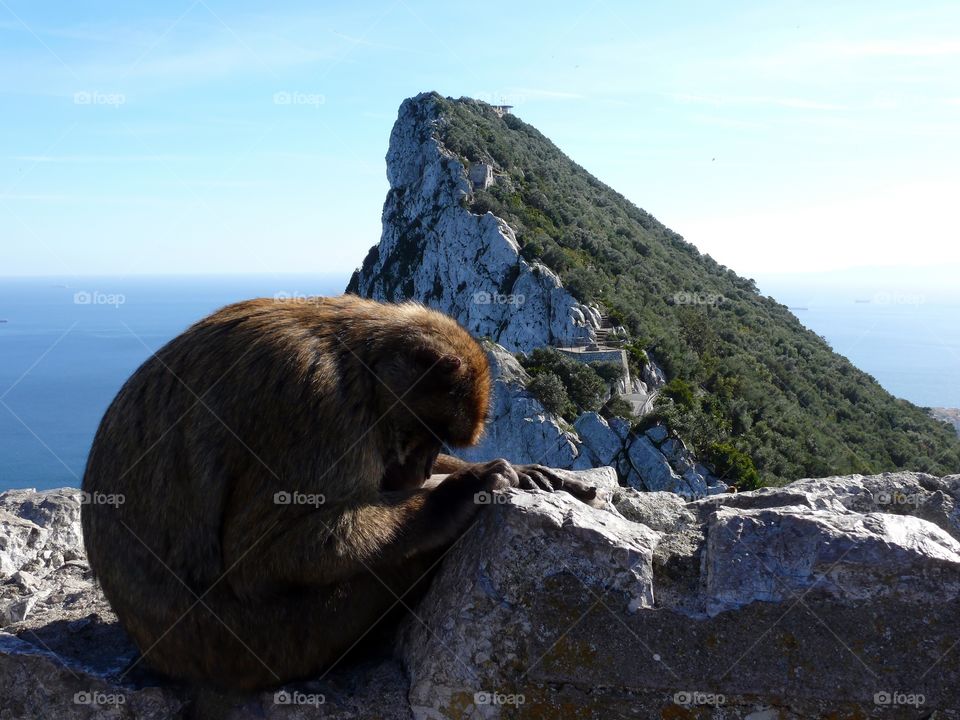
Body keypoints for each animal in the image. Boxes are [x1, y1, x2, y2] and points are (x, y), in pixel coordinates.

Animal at [82, 294, 596, 692]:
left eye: (441, 442)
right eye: (427, 432)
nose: (422, 468)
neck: (359, 366)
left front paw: (524, 473)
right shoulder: (315, 403)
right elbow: (255, 559)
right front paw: (457, 495)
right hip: (261, 645)